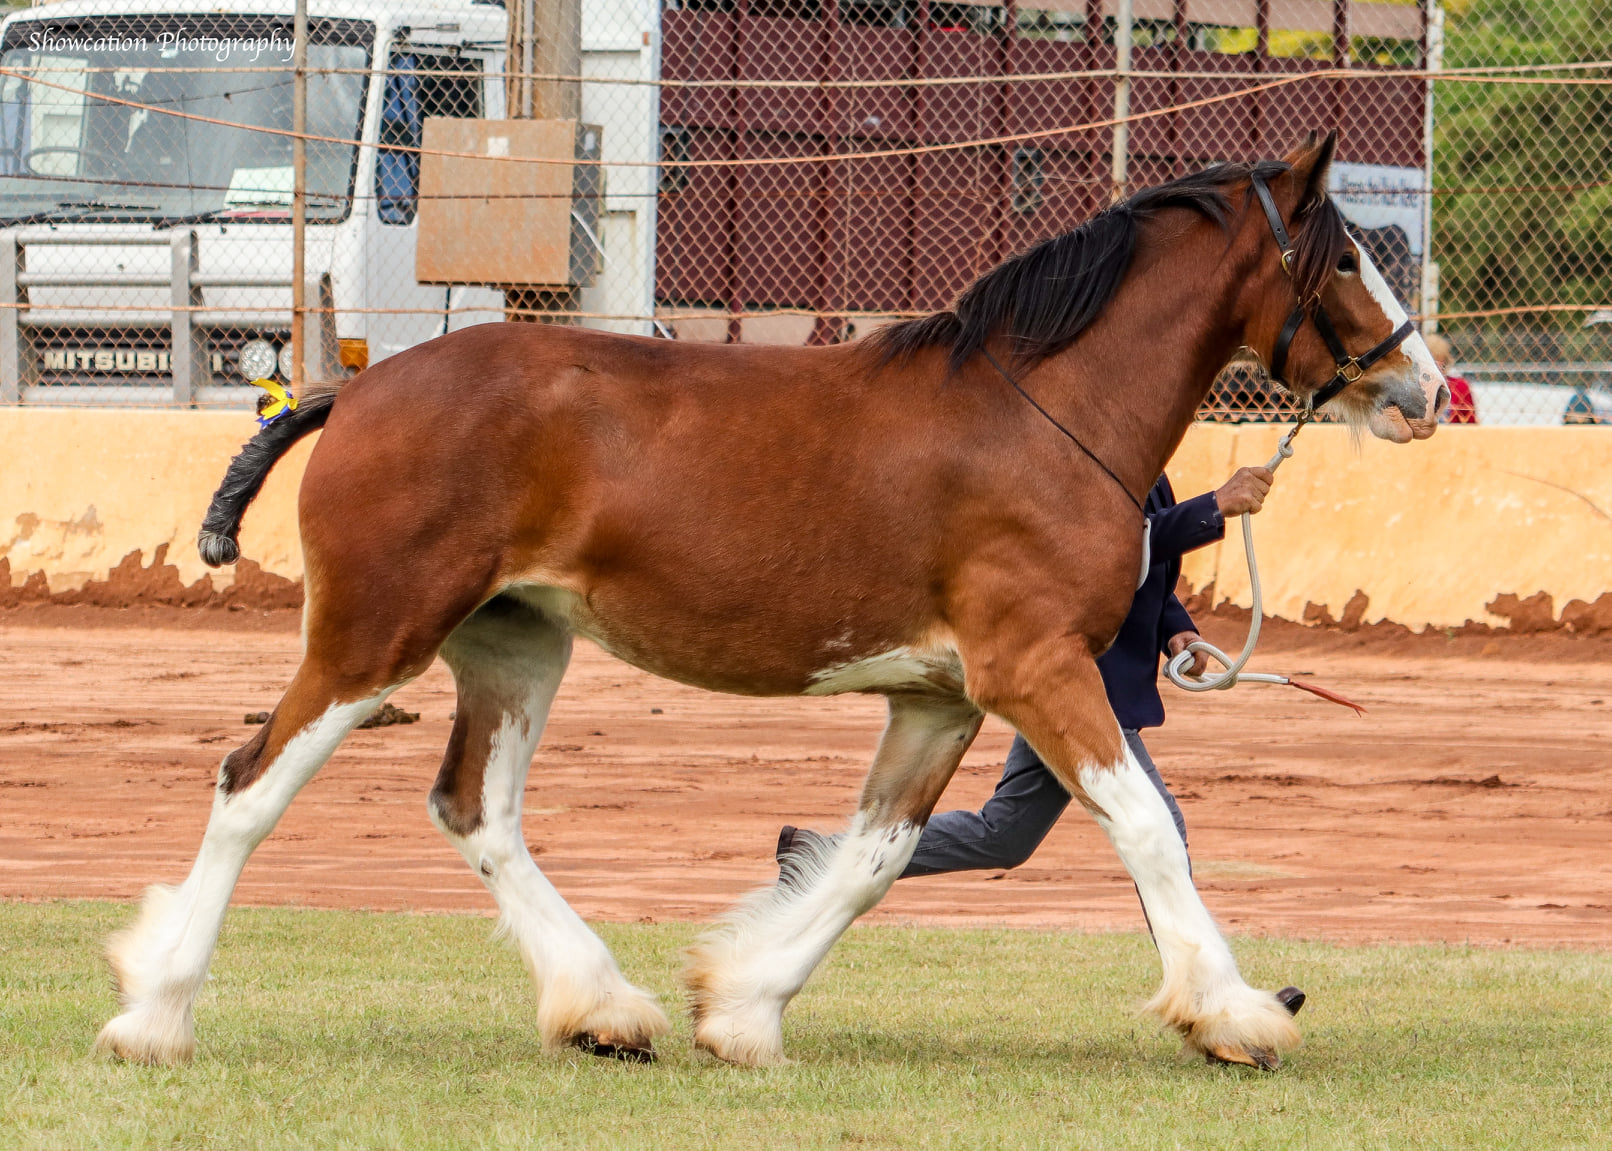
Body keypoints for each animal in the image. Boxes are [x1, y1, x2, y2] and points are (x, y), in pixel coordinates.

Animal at [94, 132, 1444, 1063]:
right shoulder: (1037, 669)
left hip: (514, 644)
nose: (1427, 390)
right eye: (1346, 255)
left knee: (475, 808)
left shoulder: (941, 699)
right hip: (375, 634)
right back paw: (154, 1015)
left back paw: (603, 1005)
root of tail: (355, 390)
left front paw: (740, 1007)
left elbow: (870, 858)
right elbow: (1146, 825)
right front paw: (1238, 1013)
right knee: (250, 785)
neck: (1040, 413)